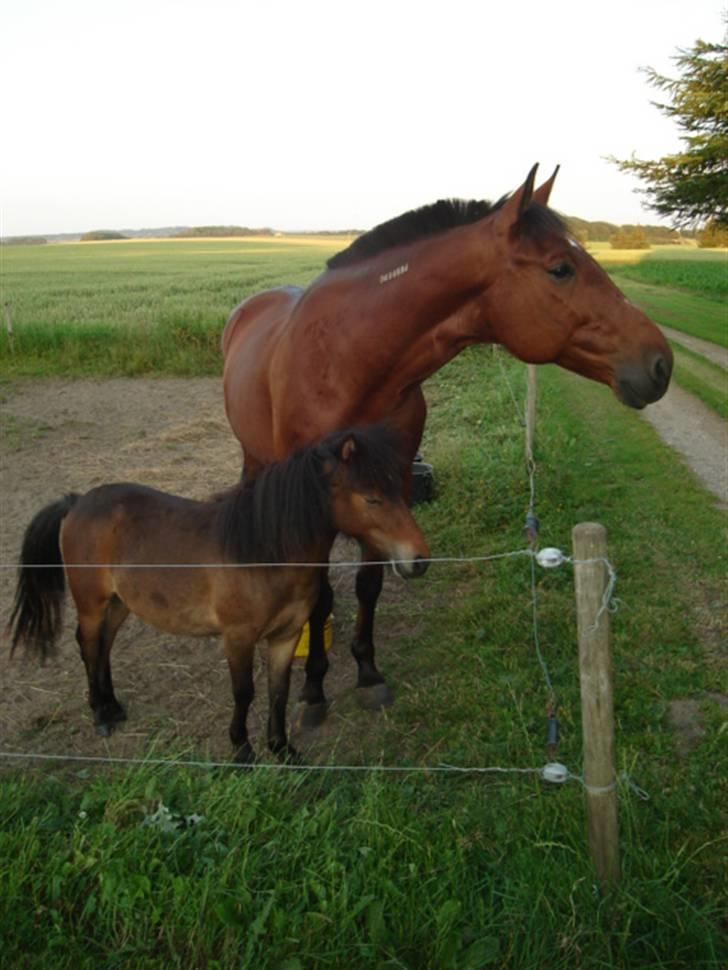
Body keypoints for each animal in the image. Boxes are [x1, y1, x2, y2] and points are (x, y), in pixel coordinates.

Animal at [8, 428, 430, 760]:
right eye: (372, 498)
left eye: (399, 488)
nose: (419, 559)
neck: (263, 553)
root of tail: (76, 502)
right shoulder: (237, 637)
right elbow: (244, 692)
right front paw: (242, 749)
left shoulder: (285, 635)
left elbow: (279, 691)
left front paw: (282, 749)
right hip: (92, 603)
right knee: (88, 644)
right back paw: (99, 713)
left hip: (119, 603)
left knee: (104, 646)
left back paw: (112, 707)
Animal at [222, 164, 672, 720]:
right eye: (561, 268)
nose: (661, 363)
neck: (345, 360)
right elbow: (321, 594)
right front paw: (314, 689)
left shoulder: (389, 488)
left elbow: (369, 584)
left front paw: (368, 672)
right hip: (254, 457)